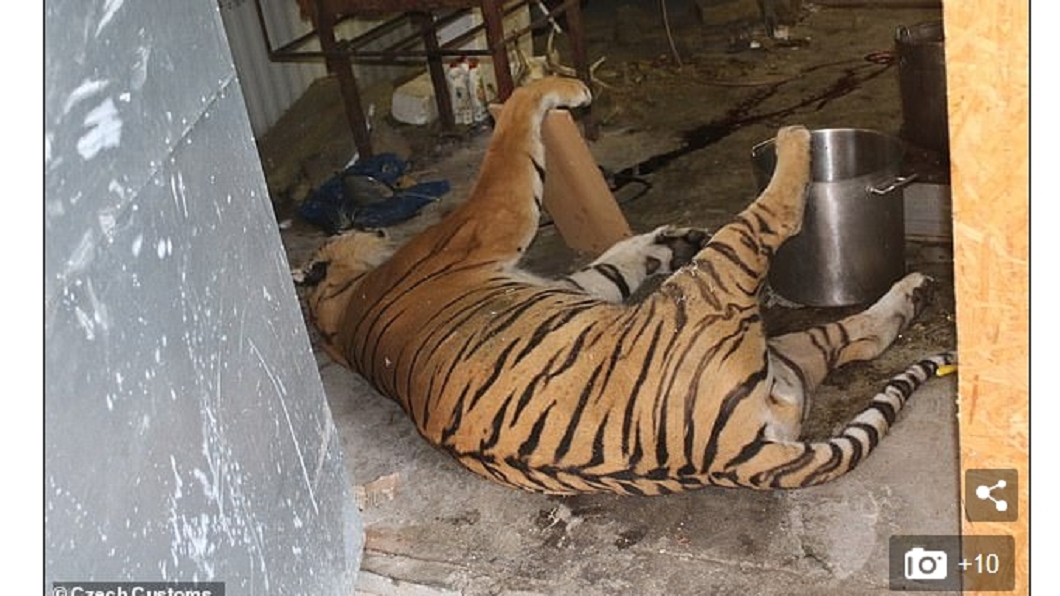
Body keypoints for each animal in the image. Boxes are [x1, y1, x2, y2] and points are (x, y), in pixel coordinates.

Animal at [295, 76, 955, 496]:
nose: (365, 228)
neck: (339, 319)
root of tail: (734, 460)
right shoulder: (494, 216)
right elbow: (516, 123)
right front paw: (564, 87)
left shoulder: (569, 277)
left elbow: (616, 261)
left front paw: (672, 238)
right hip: (719, 282)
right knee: (778, 219)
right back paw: (794, 140)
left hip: (786, 354)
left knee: (860, 337)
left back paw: (914, 291)